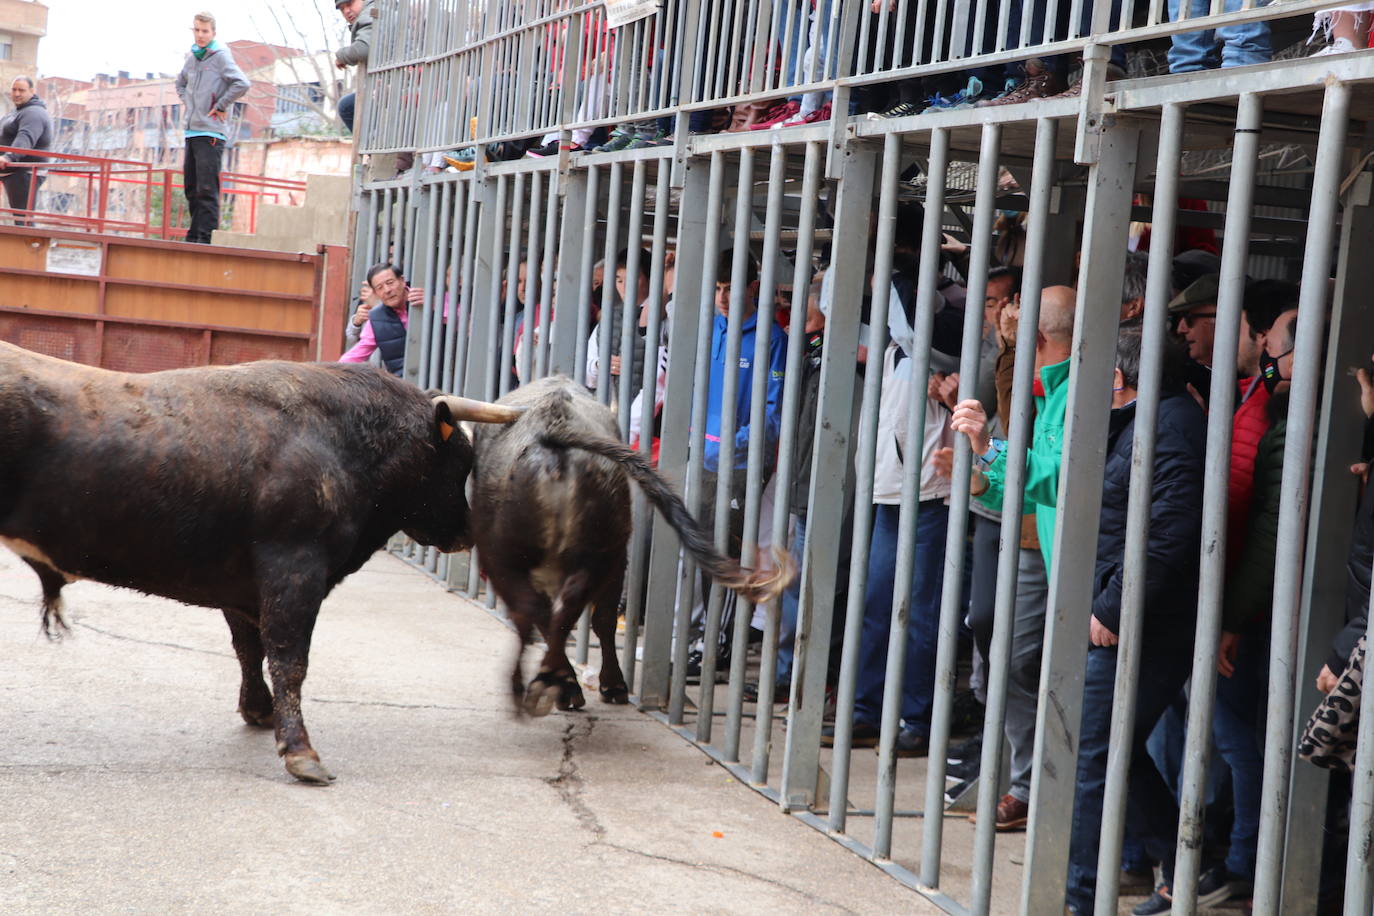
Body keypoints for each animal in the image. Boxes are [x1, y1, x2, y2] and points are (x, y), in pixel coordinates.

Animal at [0, 340, 519, 785]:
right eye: (460, 459)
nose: (466, 532)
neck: (343, 437)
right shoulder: (294, 569)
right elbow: (289, 658)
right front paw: (301, 752)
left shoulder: (243, 584)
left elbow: (250, 648)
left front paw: (259, 710)